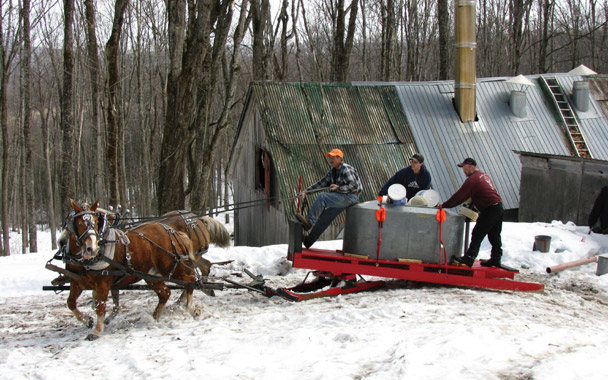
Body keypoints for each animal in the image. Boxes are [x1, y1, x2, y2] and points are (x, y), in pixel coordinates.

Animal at [64, 200, 197, 340]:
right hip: (151, 275)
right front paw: (87, 320)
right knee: (165, 293)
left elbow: (100, 306)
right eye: (79, 223)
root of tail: (172, 231)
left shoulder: (103, 283)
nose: (91, 249)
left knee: (191, 280)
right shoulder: (77, 282)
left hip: (171, 270)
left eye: (95, 222)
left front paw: (96, 331)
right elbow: (71, 303)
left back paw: (190, 307)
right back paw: (155, 317)